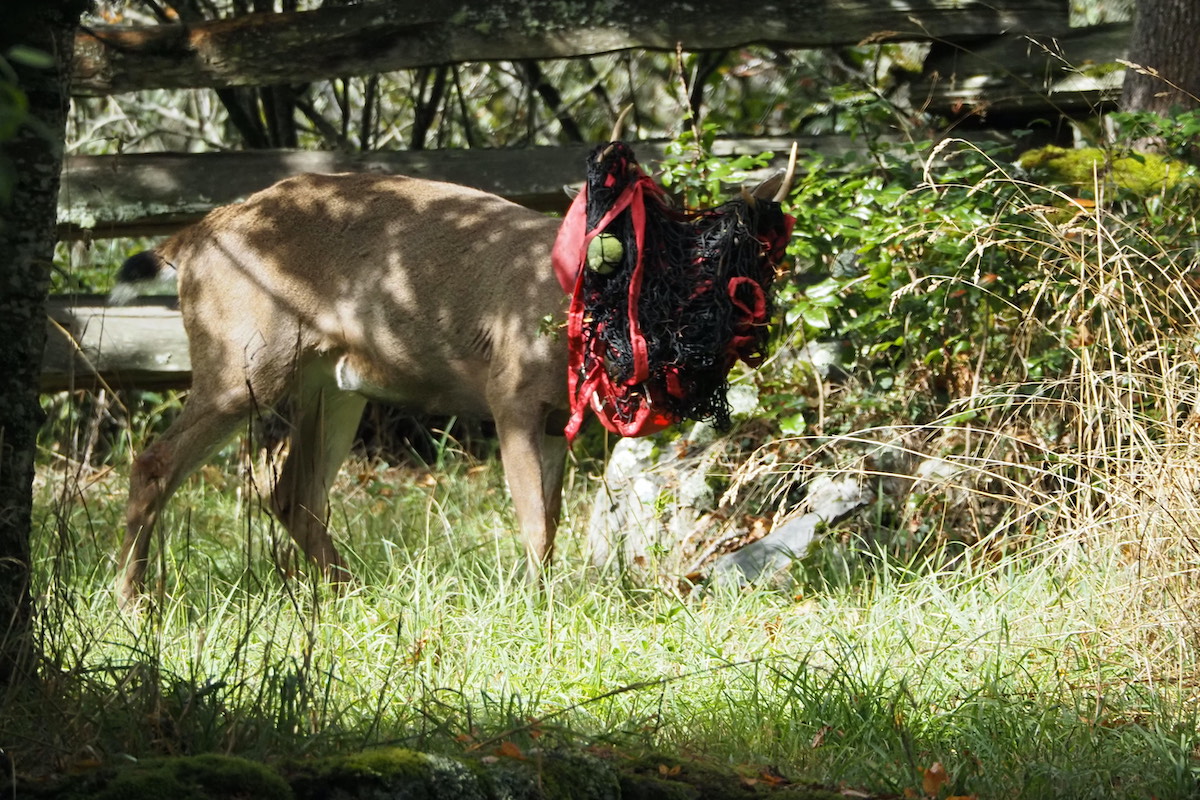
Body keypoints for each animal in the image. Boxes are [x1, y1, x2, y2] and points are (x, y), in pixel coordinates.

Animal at [112, 118, 794, 609]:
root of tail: (190, 238)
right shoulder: (510, 391)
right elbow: (533, 521)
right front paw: (539, 608)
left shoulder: (557, 420)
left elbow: (551, 518)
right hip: (244, 356)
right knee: (156, 461)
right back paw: (134, 602)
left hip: (331, 382)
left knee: (291, 490)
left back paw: (351, 596)